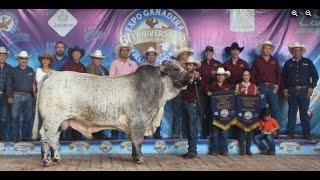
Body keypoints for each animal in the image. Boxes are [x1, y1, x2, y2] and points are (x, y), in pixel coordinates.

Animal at [31, 60, 190, 166]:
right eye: (175, 69)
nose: (190, 76)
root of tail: (52, 73)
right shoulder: (138, 121)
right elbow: (138, 140)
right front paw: (140, 159)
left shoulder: (132, 124)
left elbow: (133, 141)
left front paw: (134, 157)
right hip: (52, 119)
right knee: (45, 135)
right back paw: (46, 160)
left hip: (60, 121)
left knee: (54, 137)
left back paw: (56, 157)